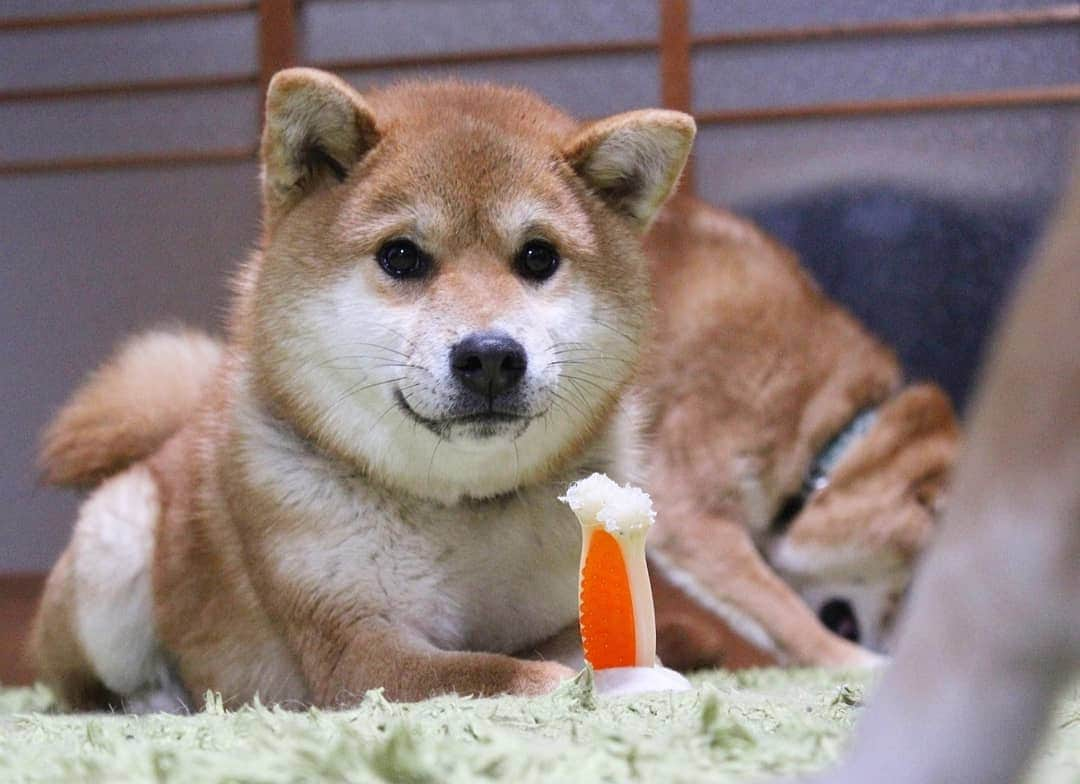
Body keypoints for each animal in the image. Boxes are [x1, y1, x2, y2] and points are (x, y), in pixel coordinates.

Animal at [33, 69, 695, 712]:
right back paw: (160, 700)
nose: (490, 357)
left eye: (538, 257)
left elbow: (595, 651)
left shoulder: (564, 611)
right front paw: (574, 687)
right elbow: (493, 671)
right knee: (87, 690)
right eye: (400, 256)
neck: (459, 511)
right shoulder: (355, 648)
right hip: (115, 548)